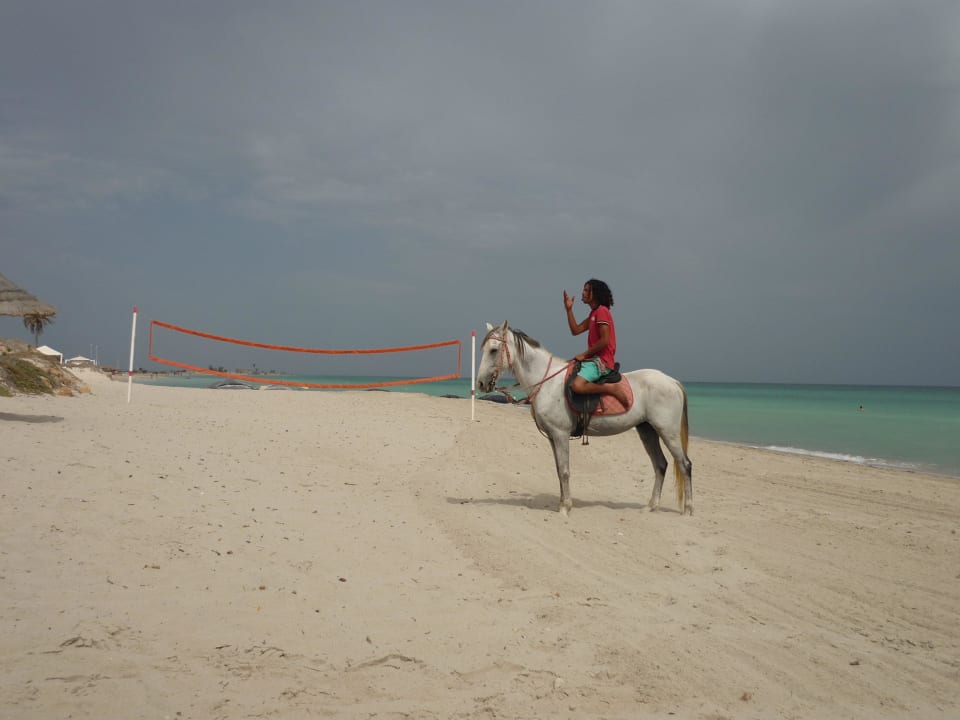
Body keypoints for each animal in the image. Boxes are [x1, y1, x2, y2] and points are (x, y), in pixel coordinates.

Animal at [476, 321, 693, 516]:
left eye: (493, 350)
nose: (480, 383)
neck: (548, 383)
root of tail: (672, 381)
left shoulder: (560, 434)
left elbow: (564, 470)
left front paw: (565, 508)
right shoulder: (553, 437)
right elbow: (559, 470)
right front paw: (562, 503)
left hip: (668, 432)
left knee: (685, 464)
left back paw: (688, 509)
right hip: (647, 431)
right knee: (660, 465)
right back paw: (651, 507)